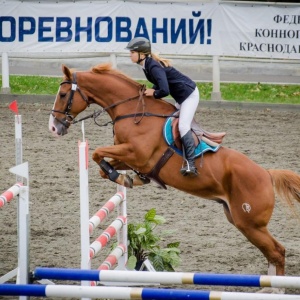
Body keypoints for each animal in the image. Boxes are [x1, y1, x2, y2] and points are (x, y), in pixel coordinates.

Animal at [49, 63, 300, 284]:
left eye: (63, 94)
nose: (53, 127)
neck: (133, 112)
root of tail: (267, 174)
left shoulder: (136, 153)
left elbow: (96, 153)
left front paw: (122, 177)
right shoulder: (127, 157)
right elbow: (104, 164)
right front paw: (128, 178)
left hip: (250, 224)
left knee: (277, 251)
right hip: (241, 221)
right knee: (272, 253)